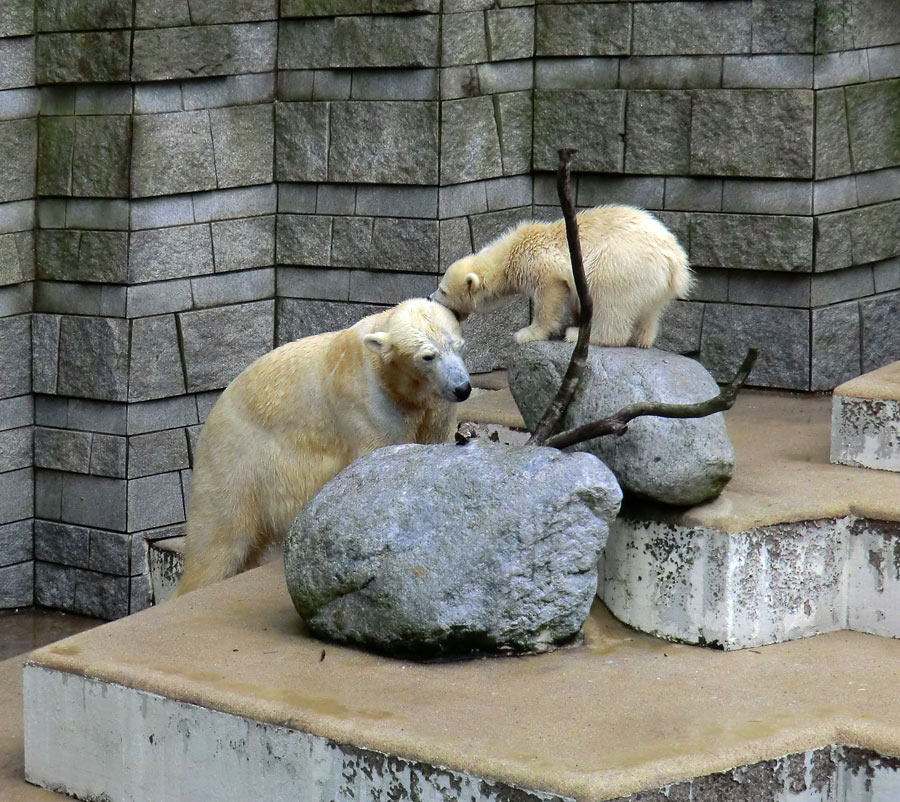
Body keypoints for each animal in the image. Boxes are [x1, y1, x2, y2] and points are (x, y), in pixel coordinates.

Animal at [176, 296, 472, 592]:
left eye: (459, 346)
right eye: (427, 356)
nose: (463, 388)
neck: (394, 382)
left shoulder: (434, 409)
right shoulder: (368, 406)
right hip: (235, 461)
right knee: (217, 540)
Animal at [428, 203, 688, 346]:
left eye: (443, 290)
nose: (430, 297)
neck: (511, 251)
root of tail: (675, 260)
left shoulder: (540, 263)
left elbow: (549, 294)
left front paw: (527, 333)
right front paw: (575, 319)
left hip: (621, 265)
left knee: (609, 301)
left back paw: (579, 335)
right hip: (653, 283)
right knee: (650, 311)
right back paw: (642, 339)